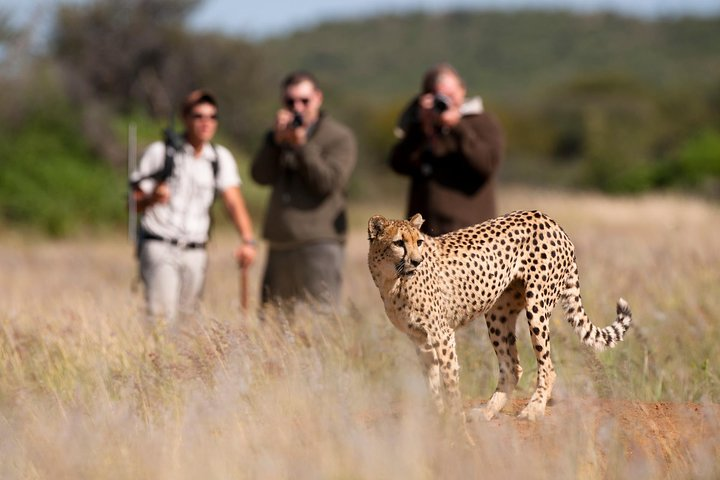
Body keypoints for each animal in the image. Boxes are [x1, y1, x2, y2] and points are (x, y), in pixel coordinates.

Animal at [368, 210, 632, 424]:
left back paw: (533, 410)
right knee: (512, 367)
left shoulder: (442, 334)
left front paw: (454, 420)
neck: (392, 281)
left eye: (419, 241)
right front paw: (439, 418)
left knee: (547, 366)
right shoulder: (420, 339)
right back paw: (487, 411)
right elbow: (432, 383)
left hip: (537, 305)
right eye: (399, 243)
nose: (416, 261)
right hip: (498, 314)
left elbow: (450, 381)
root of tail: (549, 219)